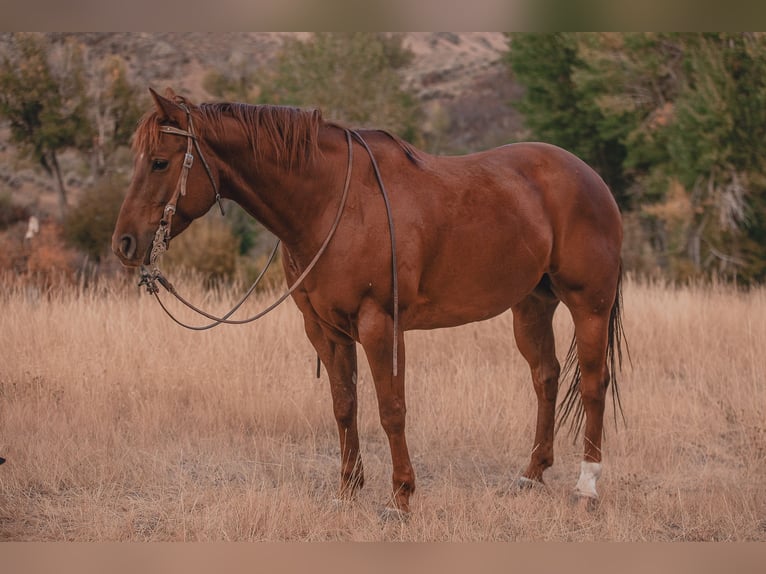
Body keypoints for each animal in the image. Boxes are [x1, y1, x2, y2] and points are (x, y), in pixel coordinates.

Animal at [113, 88, 626, 515]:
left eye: (159, 162)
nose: (124, 244)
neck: (330, 205)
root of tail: (592, 179)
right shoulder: (324, 329)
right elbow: (345, 405)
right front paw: (347, 489)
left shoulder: (380, 325)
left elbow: (391, 408)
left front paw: (400, 497)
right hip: (531, 306)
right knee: (546, 377)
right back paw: (532, 474)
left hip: (589, 306)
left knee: (593, 384)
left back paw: (586, 487)